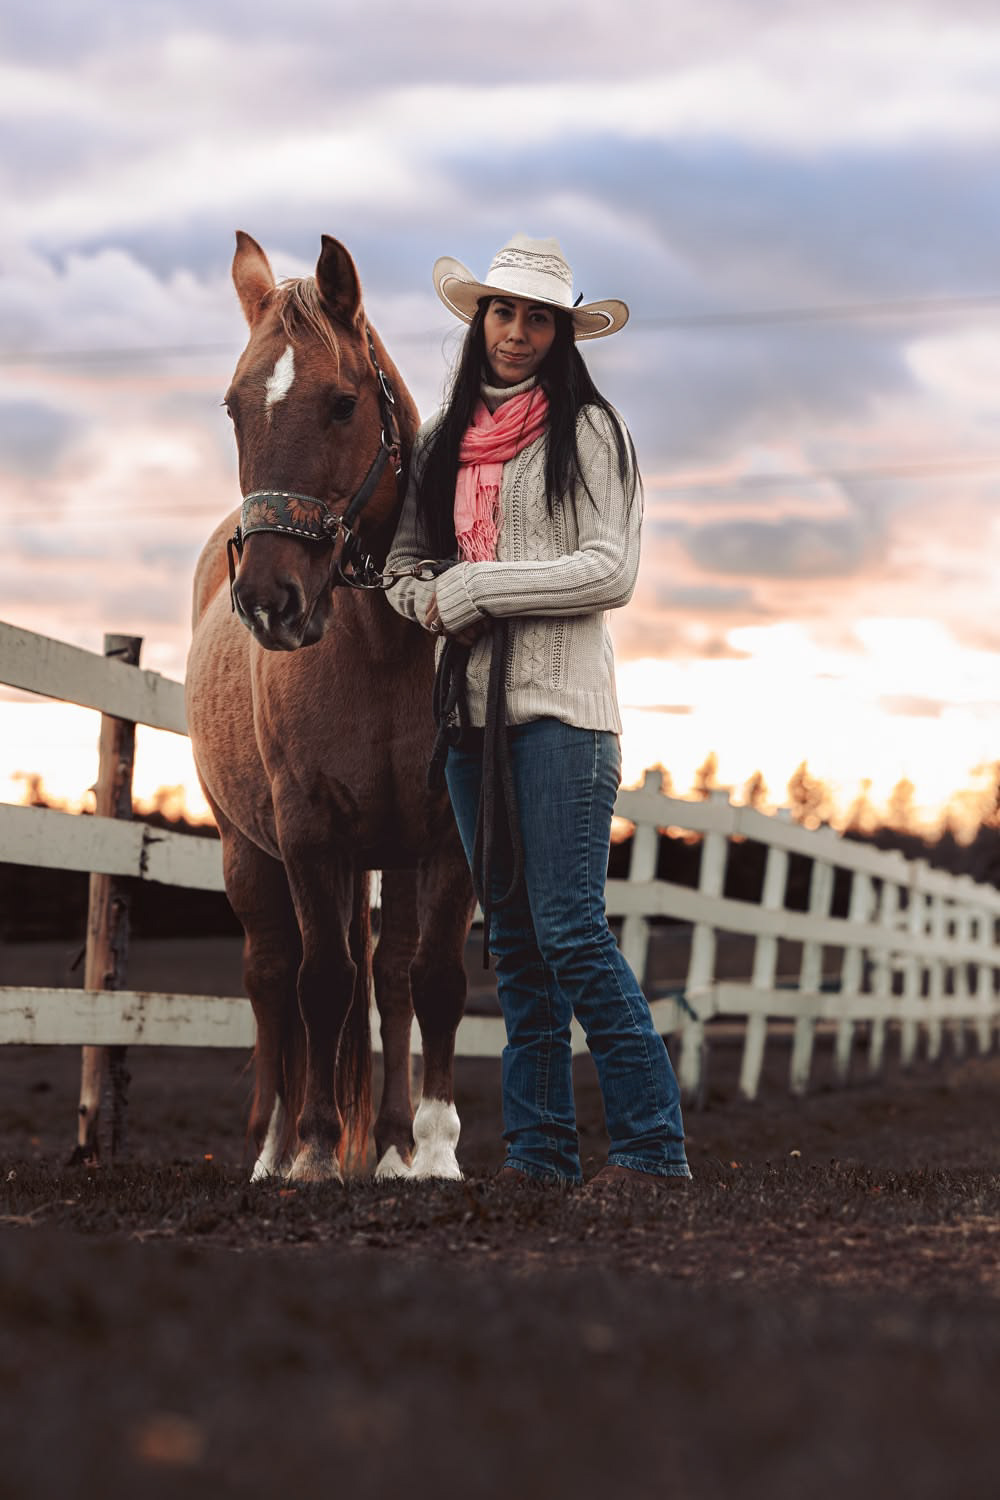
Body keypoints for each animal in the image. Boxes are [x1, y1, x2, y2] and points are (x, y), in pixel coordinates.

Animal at [185, 231, 475, 1184]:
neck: (379, 648)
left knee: (388, 977)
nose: (269, 601)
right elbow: (320, 985)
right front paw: (312, 1153)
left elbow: (432, 981)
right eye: (235, 409)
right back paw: (275, 1152)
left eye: (343, 404)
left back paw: (388, 1147)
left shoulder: (444, 836)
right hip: (249, 852)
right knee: (276, 981)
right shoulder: (308, 831)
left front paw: (432, 1151)